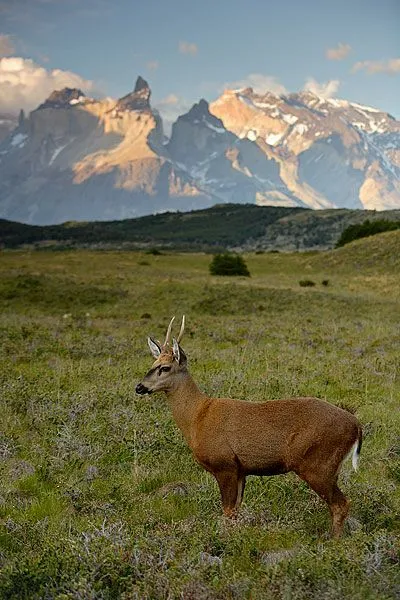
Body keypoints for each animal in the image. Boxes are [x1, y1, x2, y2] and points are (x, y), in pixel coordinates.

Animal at [135, 316, 362, 536]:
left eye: (165, 368)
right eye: (153, 362)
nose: (139, 387)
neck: (198, 416)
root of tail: (357, 426)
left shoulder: (224, 464)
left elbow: (227, 511)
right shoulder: (241, 470)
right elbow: (235, 510)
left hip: (317, 464)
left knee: (341, 504)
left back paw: (333, 541)